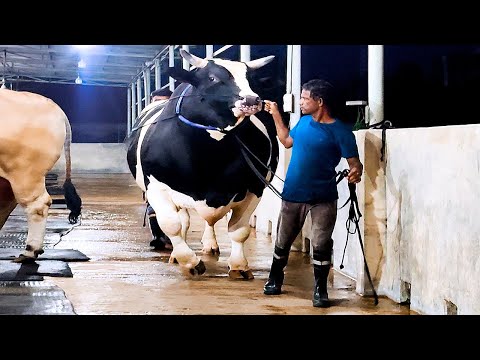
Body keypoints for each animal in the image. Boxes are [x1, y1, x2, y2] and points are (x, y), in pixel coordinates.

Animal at [125, 48, 280, 278]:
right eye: (212, 78)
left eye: (251, 79)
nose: (252, 99)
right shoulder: (156, 186)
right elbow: (172, 225)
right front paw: (189, 261)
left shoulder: (255, 188)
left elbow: (239, 230)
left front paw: (239, 265)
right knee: (184, 222)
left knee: (209, 222)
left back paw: (210, 244)